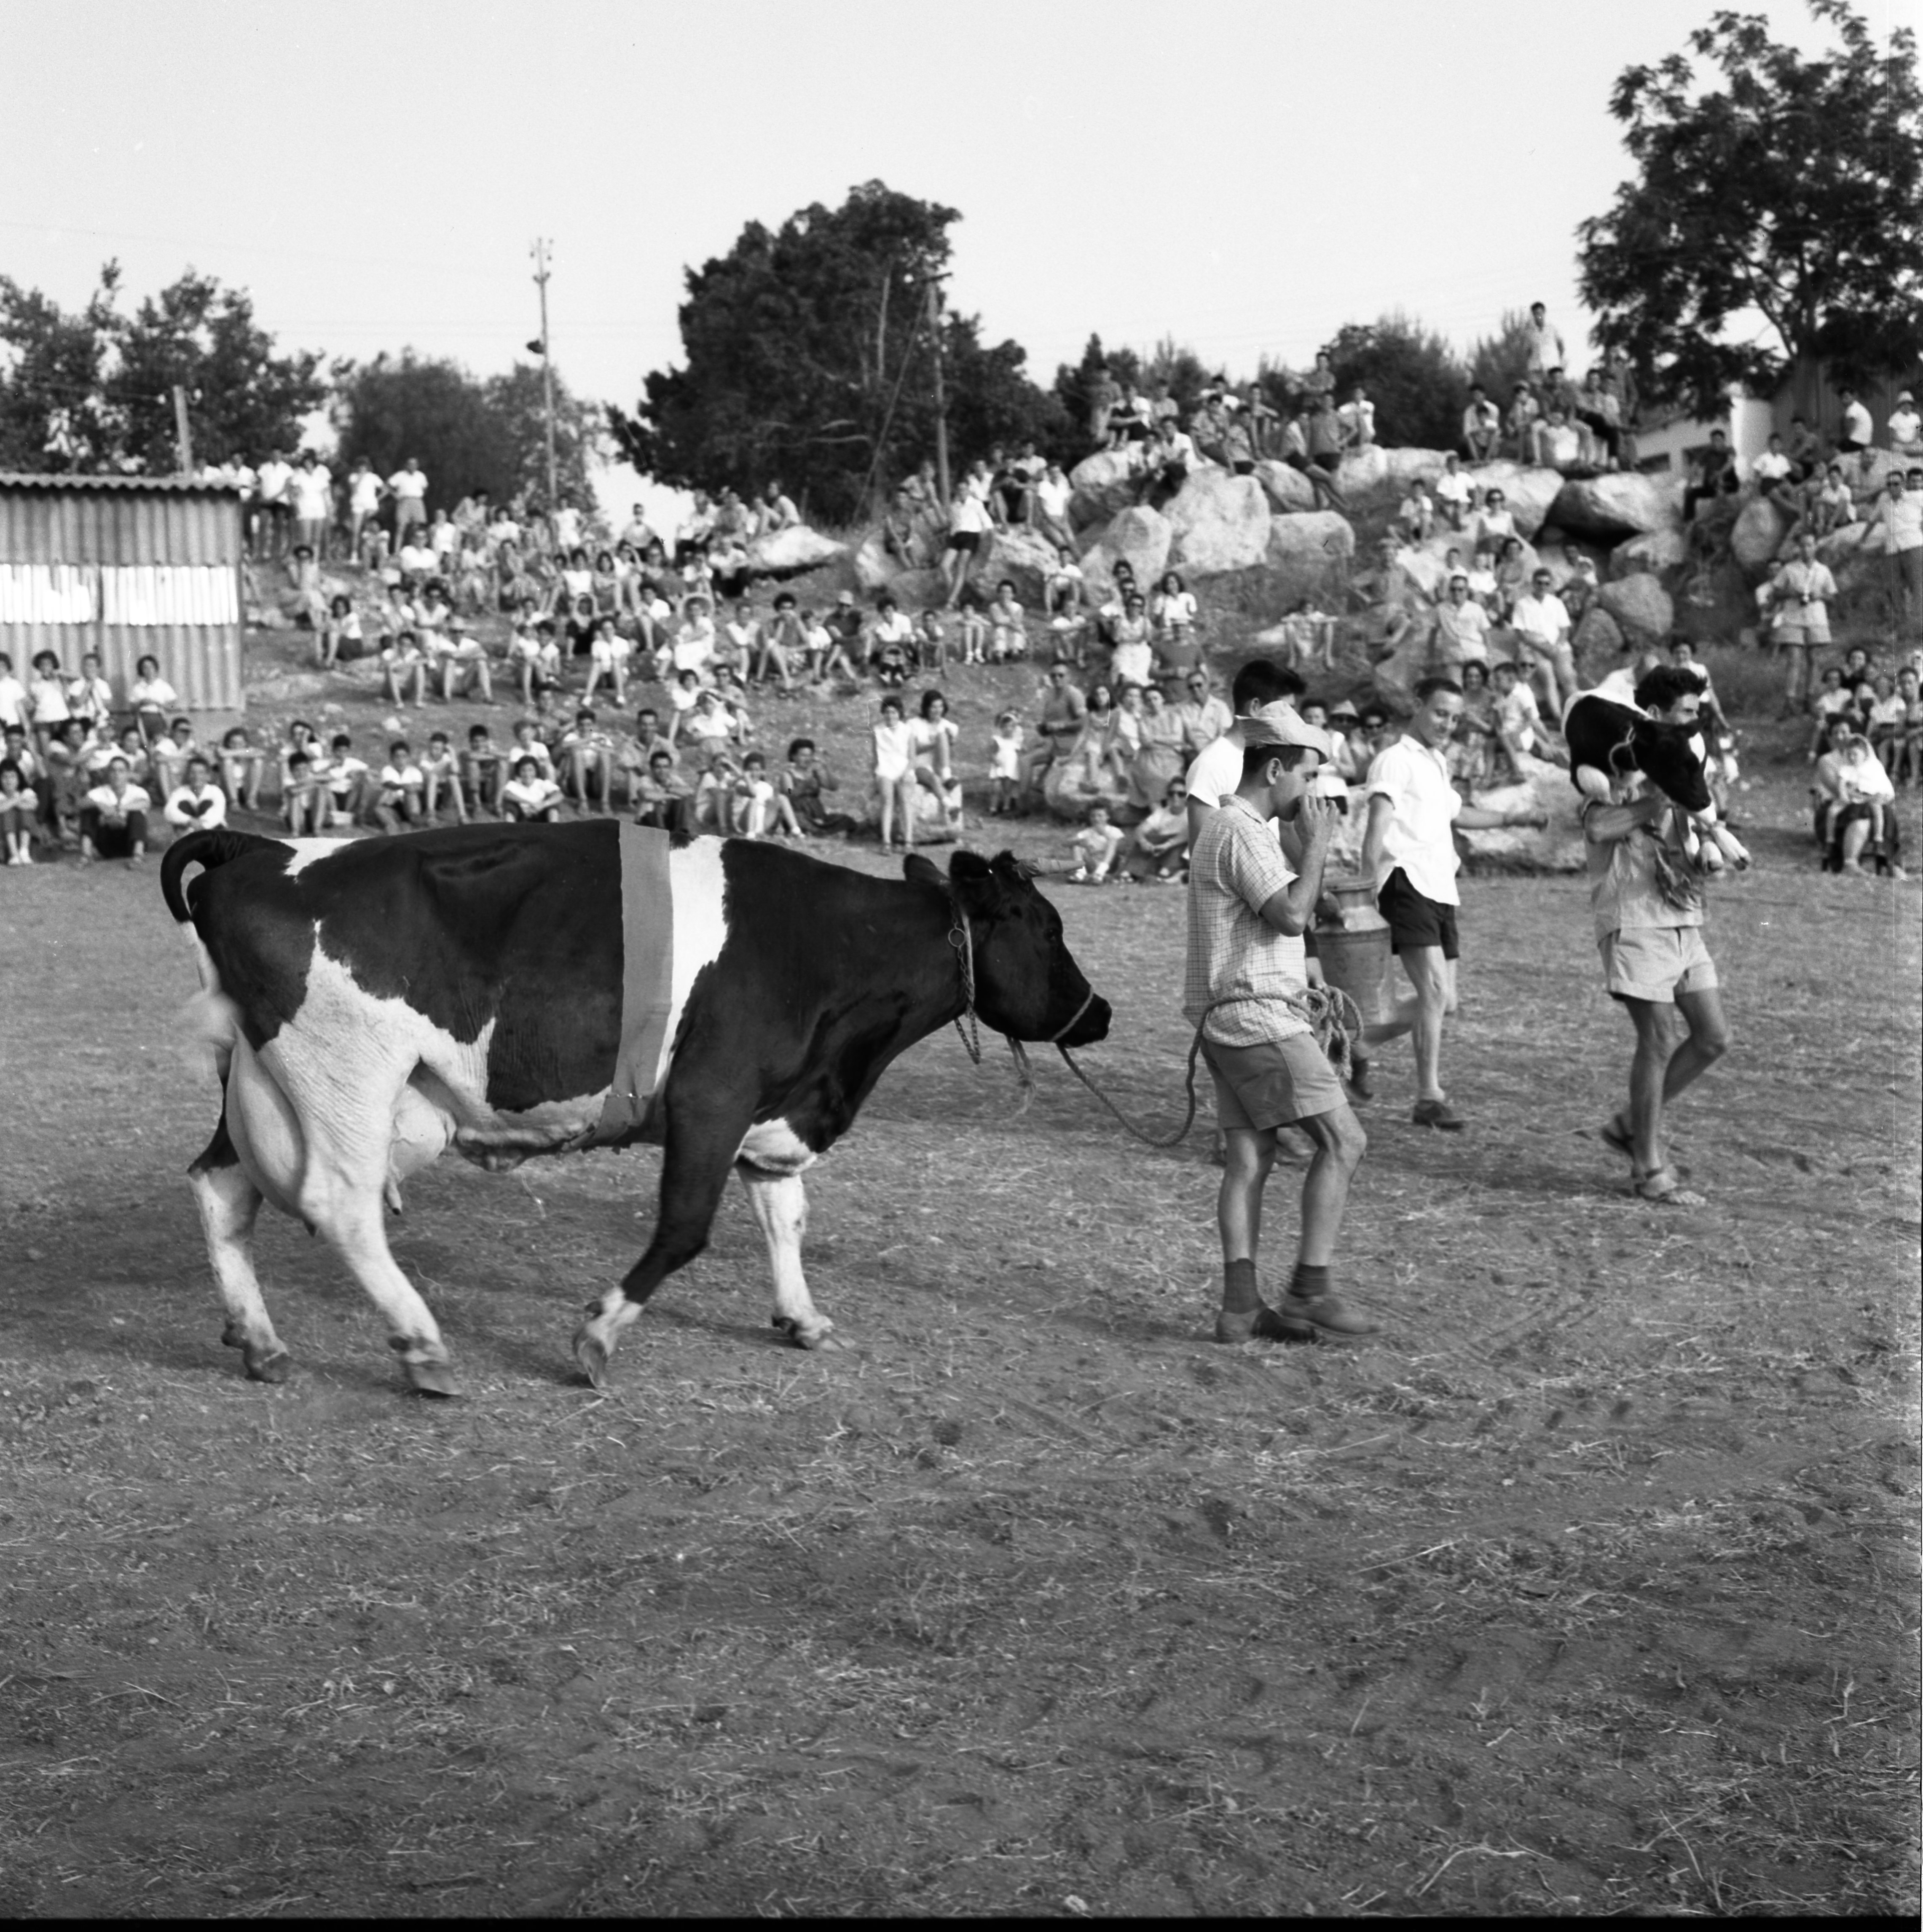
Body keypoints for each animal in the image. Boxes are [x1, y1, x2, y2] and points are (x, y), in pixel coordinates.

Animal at [165, 823, 1113, 1398]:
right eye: (1047, 926)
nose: (1099, 1012)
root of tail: (259, 848)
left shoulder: (772, 1108)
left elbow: (784, 1215)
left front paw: (801, 1316)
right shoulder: (711, 1094)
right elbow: (686, 1227)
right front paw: (598, 1334)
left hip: (262, 1083)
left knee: (221, 1188)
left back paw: (260, 1339)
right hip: (349, 1080)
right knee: (342, 1206)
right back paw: (422, 1346)